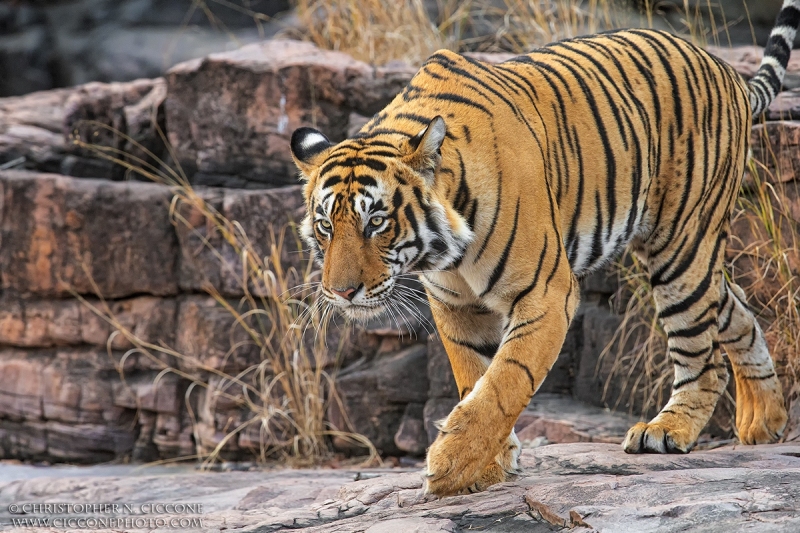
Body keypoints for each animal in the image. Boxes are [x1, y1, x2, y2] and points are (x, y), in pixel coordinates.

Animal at [290, 0, 800, 494]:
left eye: (376, 222)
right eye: (325, 226)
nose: (341, 293)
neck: (448, 252)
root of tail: (727, 70)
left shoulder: (547, 291)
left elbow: (506, 378)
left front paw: (452, 463)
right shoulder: (456, 305)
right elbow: (474, 375)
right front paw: (489, 464)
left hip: (680, 247)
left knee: (702, 350)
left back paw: (668, 430)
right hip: (691, 258)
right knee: (738, 311)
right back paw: (765, 420)